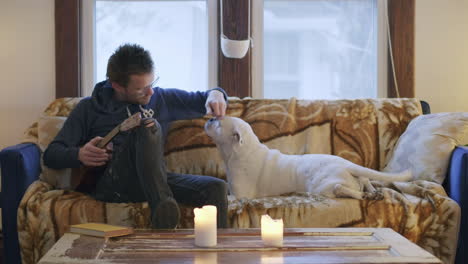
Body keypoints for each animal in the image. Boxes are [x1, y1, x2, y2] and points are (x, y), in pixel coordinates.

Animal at [205, 116, 410, 199]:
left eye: (218, 123)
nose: (209, 118)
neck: (242, 151)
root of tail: (347, 165)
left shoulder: (241, 195)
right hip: (355, 177)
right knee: (366, 181)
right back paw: (374, 192)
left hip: (322, 185)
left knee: (340, 189)